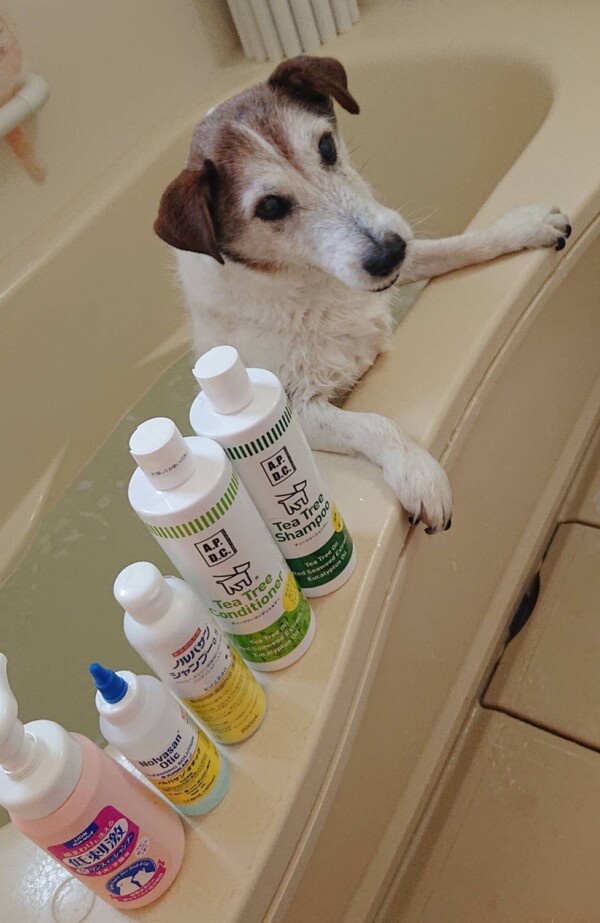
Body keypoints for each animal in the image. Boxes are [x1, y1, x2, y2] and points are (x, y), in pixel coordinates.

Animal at [154, 55, 571, 534]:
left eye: (326, 146)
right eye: (270, 207)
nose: (389, 253)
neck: (308, 286)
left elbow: (459, 245)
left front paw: (523, 227)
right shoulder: (292, 410)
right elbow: (374, 424)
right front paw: (418, 472)